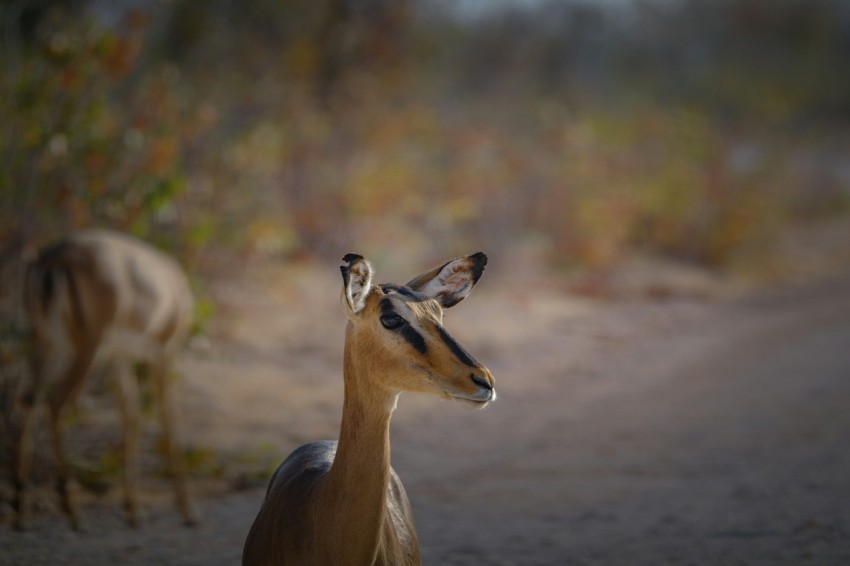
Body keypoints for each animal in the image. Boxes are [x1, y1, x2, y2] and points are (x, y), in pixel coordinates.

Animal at [12, 229, 198, 532]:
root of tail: (54, 257)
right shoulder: (164, 352)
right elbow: (169, 420)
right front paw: (188, 511)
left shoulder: (118, 356)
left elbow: (130, 413)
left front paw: (133, 511)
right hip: (88, 348)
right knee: (55, 401)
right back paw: (73, 512)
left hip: (46, 344)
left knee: (27, 399)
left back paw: (21, 511)